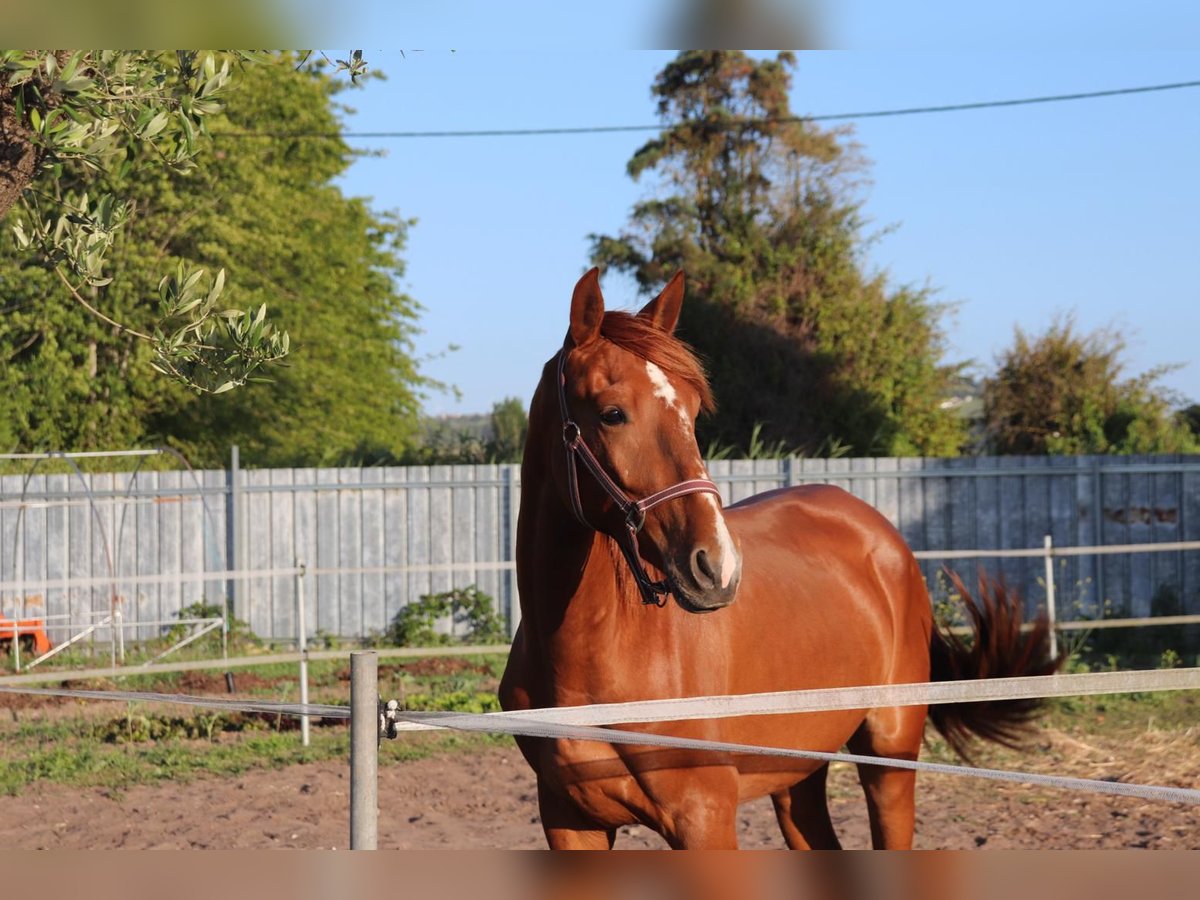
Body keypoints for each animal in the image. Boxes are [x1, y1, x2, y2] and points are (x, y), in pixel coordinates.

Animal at [496, 270, 1051, 854]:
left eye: (692, 410)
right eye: (611, 413)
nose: (716, 567)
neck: (594, 660)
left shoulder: (703, 818)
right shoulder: (568, 820)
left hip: (890, 756)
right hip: (796, 778)